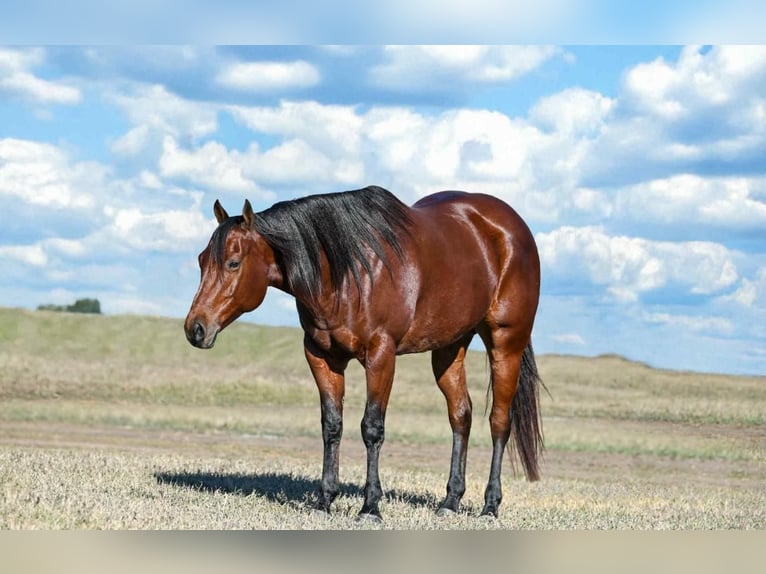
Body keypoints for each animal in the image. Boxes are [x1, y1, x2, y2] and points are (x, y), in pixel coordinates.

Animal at [184, 185, 544, 520]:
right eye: (201, 260)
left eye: (233, 263)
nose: (195, 328)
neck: (347, 272)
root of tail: (511, 227)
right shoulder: (321, 356)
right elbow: (332, 425)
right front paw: (325, 500)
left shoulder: (381, 355)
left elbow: (372, 428)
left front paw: (370, 506)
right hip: (449, 347)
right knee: (461, 416)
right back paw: (450, 501)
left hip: (505, 344)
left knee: (499, 422)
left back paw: (490, 505)